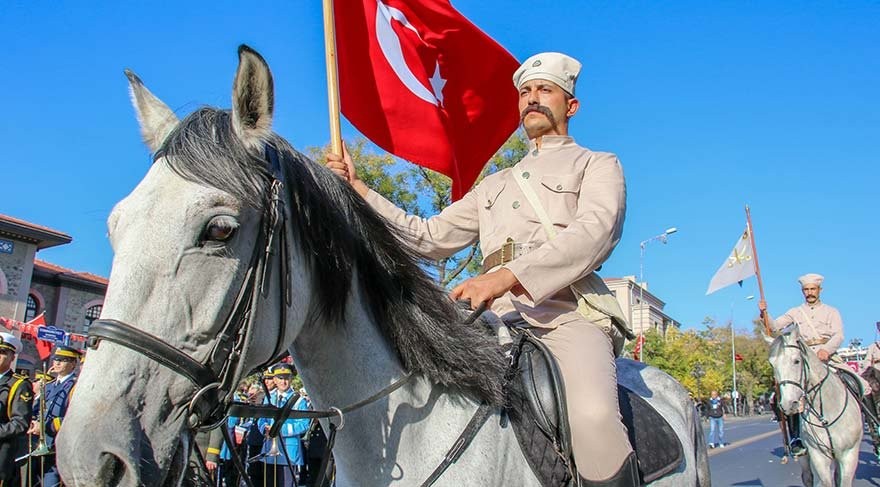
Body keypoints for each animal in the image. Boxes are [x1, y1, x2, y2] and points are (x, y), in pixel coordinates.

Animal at [768, 324, 860, 487]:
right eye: (772, 364)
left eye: (796, 361)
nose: (788, 404)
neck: (826, 412)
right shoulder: (818, 456)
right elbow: (825, 481)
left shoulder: (849, 454)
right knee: (807, 476)